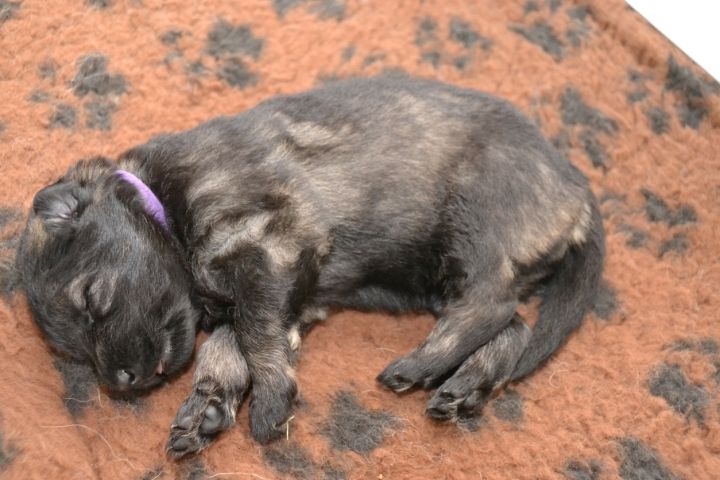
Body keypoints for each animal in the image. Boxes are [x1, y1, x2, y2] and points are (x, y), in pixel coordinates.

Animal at [16, 73, 604, 456]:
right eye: (74, 352)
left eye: (93, 299)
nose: (123, 382)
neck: (162, 201)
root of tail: (577, 188)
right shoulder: (284, 294)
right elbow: (230, 347)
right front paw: (207, 409)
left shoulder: (271, 246)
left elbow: (254, 337)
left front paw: (270, 403)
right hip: (443, 272)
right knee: (517, 328)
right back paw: (466, 386)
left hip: (471, 217)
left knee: (493, 301)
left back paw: (418, 365)